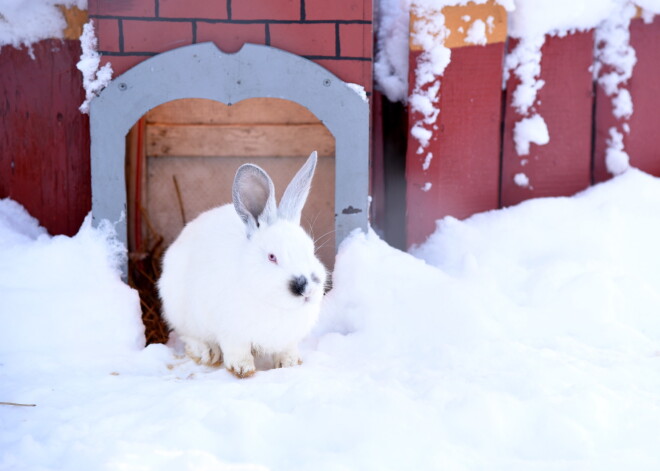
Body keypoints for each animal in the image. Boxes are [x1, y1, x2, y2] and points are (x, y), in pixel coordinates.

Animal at [158, 153, 328, 378]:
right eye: (272, 257)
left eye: (311, 250)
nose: (306, 289)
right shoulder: (232, 332)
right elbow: (237, 351)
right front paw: (242, 369)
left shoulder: (288, 338)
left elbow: (286, 350)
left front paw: (290, 364)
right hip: (179, 311)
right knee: (188, 335)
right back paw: (207, 352)